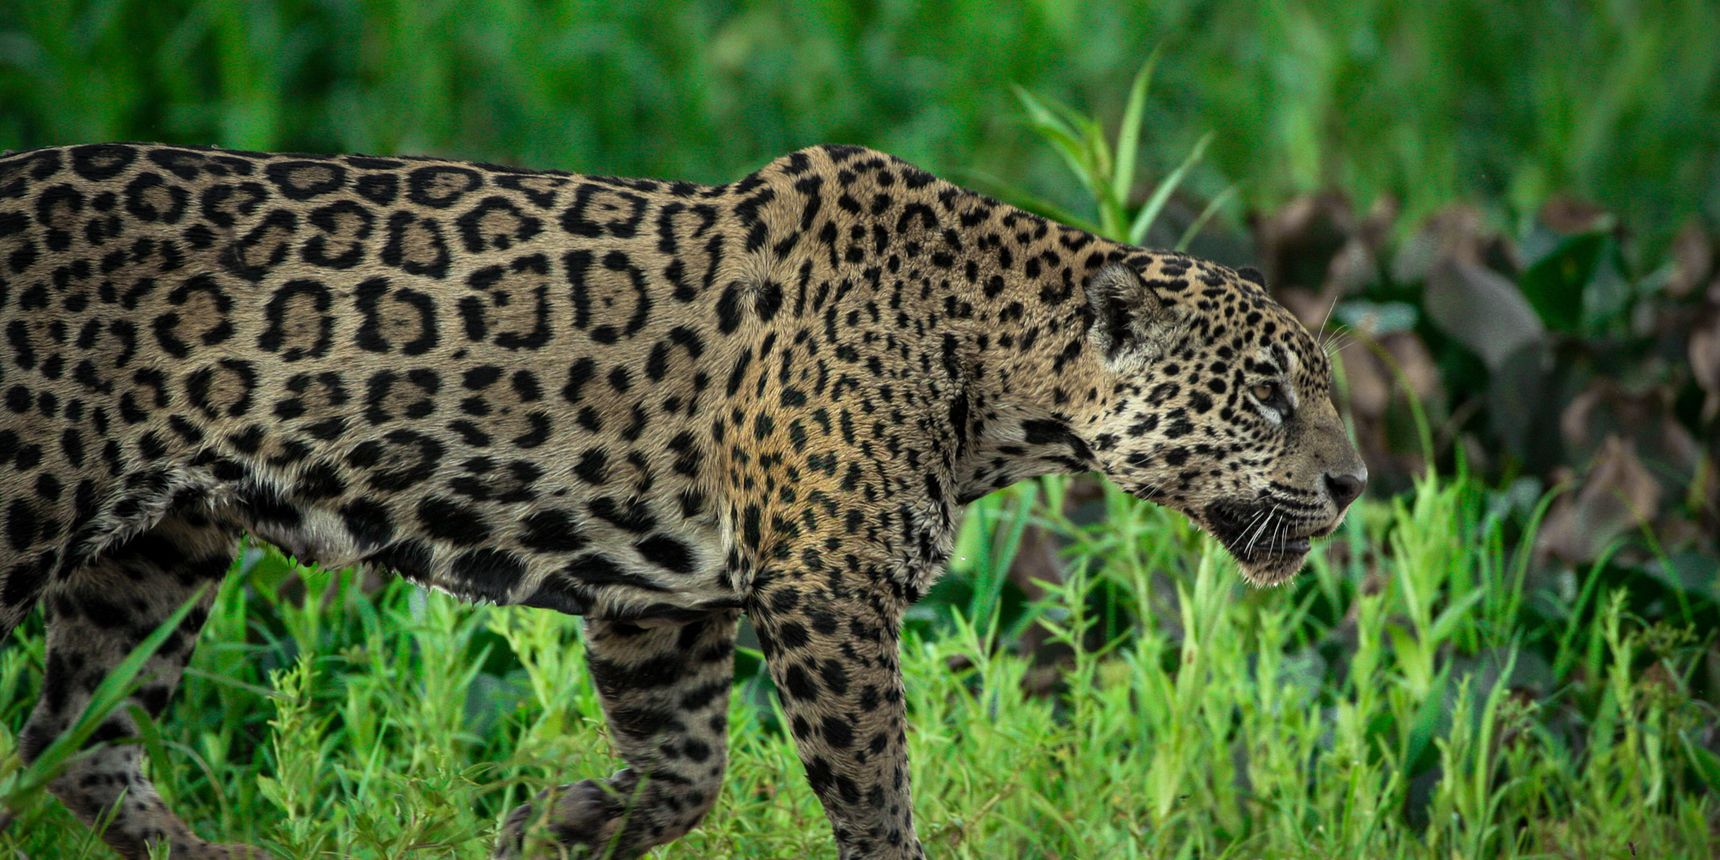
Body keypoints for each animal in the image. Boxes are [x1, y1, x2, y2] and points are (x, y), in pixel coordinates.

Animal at [0, 141, 1366, 859]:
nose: (1355, 483)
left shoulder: (666, 604)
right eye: (1266, 393)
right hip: (31, 499)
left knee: (78, 736)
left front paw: (551, 824)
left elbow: (685, 769)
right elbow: (872, 780)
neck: (999, 376)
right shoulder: (823, 586)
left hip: (159, 551)